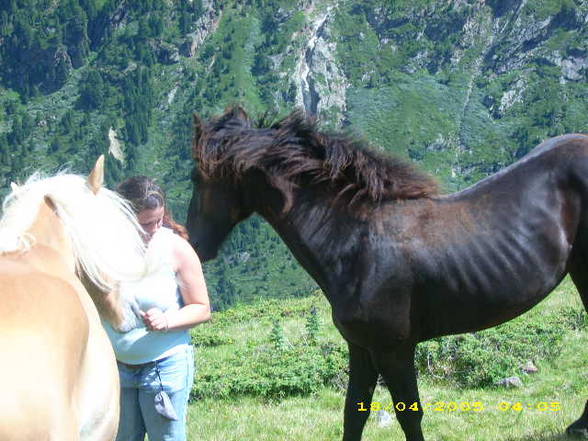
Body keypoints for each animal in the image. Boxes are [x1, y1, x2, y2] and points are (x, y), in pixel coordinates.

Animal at [187, 106, 588, 440]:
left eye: (197, 177)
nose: (194, 244)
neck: (356, 242)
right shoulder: (361, 347)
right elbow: (354, 413)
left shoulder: (393, 348)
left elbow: (409, 414)